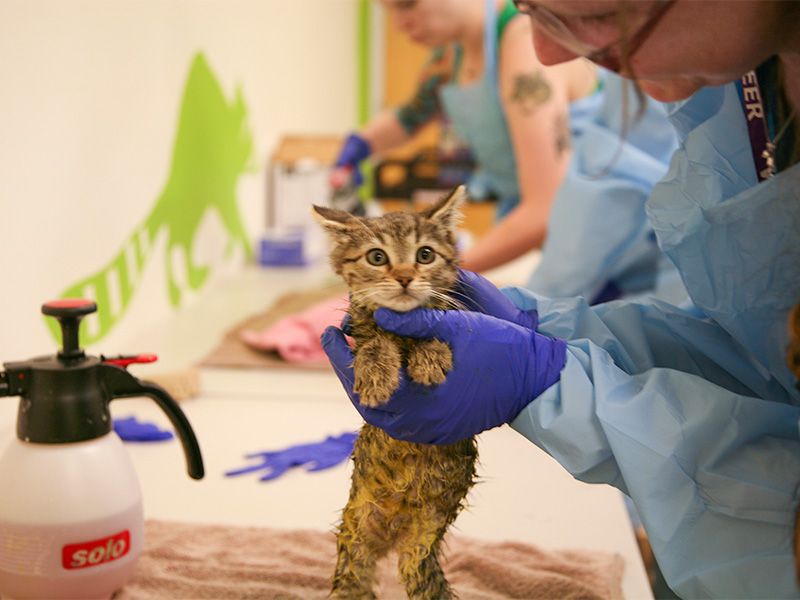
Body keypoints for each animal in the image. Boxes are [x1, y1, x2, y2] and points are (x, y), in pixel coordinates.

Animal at [310, 185, 476, 596]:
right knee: (353, 581)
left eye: (425, 255)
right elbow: (374, 341)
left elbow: (433, 327)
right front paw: (375, 374)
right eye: (377, 257)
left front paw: (430, 356)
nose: (403, 277)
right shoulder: (360, 329)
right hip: (355, 533)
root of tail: (394, 534)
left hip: (422, 544)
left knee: (421, 579)